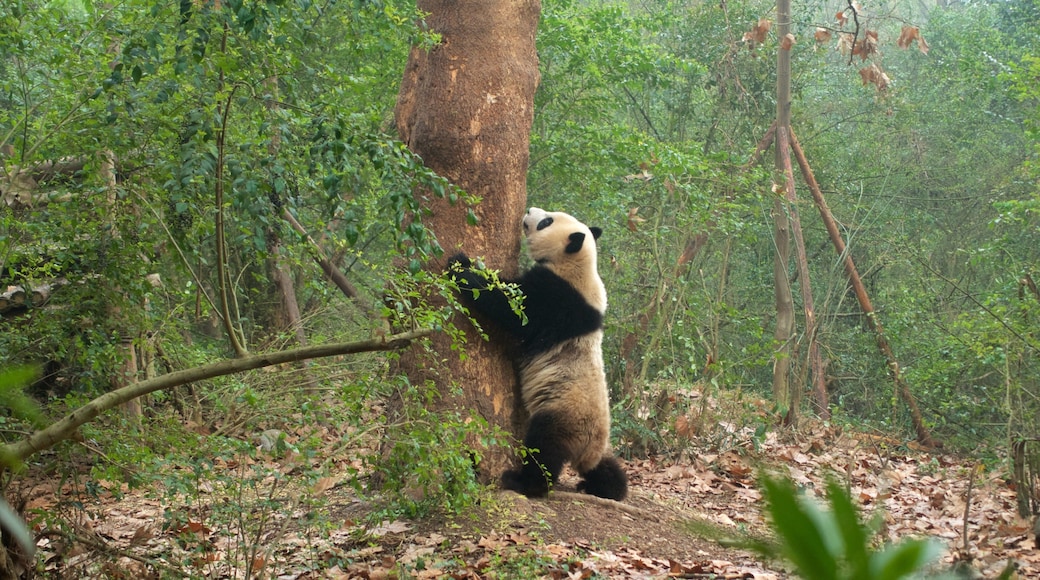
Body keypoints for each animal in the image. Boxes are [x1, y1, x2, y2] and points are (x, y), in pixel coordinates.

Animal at [449, 207, 628, 501]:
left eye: (546, 222)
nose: (530, 210)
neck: (579, 263)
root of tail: (588, 447)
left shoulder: (557, 297)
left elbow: (512, 306)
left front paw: (461, 266)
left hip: (563, 415)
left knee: (543, 449)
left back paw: (524, 482)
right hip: (596, 442)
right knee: (606, 467)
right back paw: (604, 486)